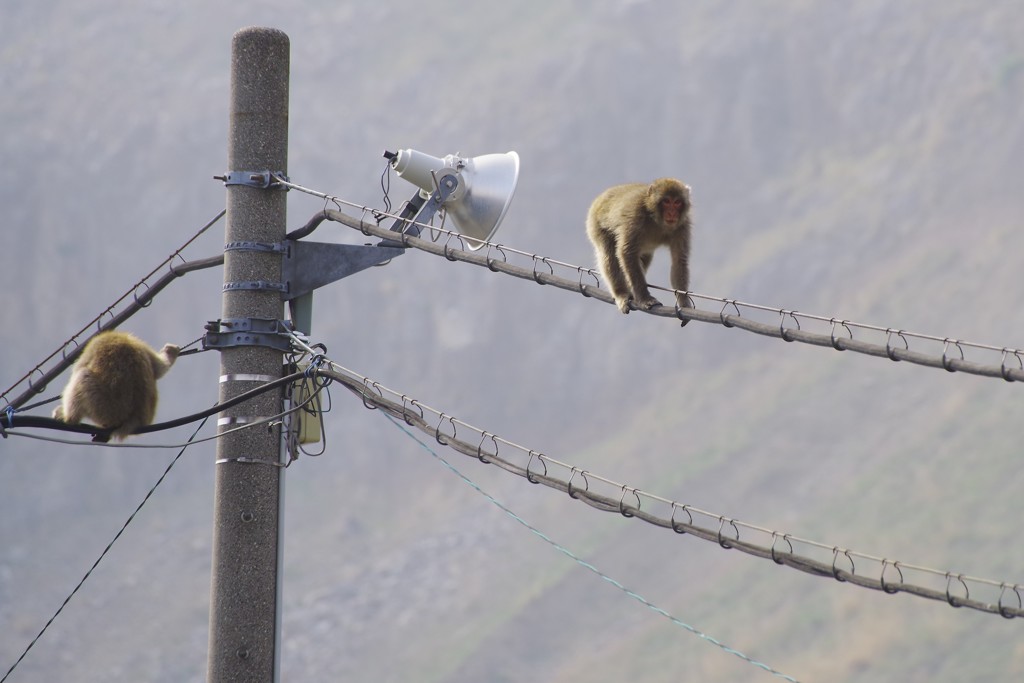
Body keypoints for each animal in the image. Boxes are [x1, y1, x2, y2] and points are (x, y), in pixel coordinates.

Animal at [51, 331, 179, 444]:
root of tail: (135, 420)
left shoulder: (94, 347)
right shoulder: (140, 345)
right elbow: (160, 368)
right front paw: (170, 352)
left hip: (103, 409)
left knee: (83, 375)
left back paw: (70, 418)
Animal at [585, 176, 696, 315]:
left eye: (677, 202)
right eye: (666, 201)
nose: (672, 213)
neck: (656, 219)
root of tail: (602, 196)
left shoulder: (683, 225)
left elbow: (679, 260)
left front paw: (684, 304)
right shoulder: (635, 215)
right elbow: (627, 252)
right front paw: (644, 299)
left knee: (644, 258)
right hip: (596, 223)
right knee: (609, 255)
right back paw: (621, 293)